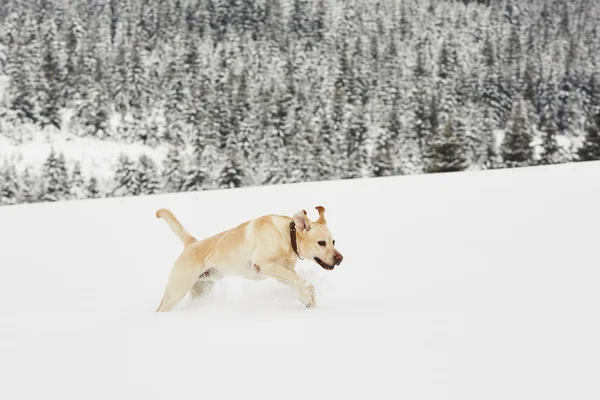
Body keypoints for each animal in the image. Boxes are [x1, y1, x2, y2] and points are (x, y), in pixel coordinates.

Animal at [155, 206, 342, 312]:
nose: (340, 258)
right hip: (176, 291)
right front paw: (307, 295)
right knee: (161, 307)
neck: (287, 237)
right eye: (321, 243)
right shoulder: (262, 264)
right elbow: (298, 279)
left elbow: (297, 280)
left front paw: (308, 301)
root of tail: (192, 243)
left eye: (333, 242)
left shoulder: (281, 271)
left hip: (202, 288)